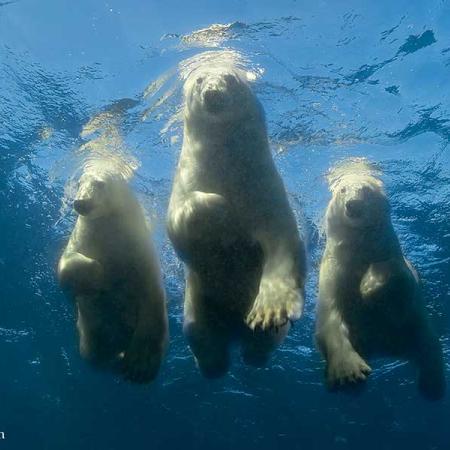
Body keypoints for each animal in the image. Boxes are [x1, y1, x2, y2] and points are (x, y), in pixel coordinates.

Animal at [57, 167, 168, 384]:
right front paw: (98, 276)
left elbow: (151, 299)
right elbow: (66, 265)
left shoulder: (141, 254)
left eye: (100, 183)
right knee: (94, 354)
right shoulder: (83, 237)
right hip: (89, 335)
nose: (80, 202)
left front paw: (140, 364)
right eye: (79, 183)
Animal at [167, 65, 308, 378]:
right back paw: (214, 363)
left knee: (264, 343)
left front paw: (269, 310)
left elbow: (282, 242)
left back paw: (253, 351)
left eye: (230, 78)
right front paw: (222, 210)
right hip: (197, 305)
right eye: (199, 80)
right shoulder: (187, 180)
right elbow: (180, 226)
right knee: (198, 333)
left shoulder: (265, 189)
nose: (212, 93)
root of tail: (233, 333)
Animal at [316, 163, 446, 400]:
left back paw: (432, 386)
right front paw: (349, 372)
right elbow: (330, 319)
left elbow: (400, 282)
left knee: (429, 346)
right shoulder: (333, 273)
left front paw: (368, 285)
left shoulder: (392, 257)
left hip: (412, 331)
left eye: (367, 190)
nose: (353, 205)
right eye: (343, 190)